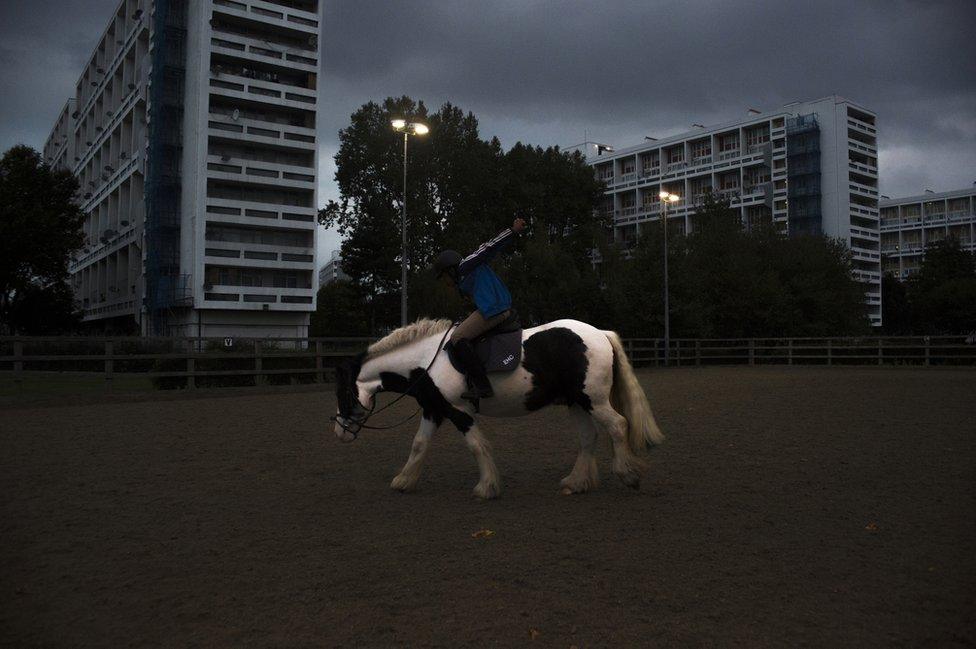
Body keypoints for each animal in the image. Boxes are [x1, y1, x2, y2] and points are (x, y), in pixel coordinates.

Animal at [334, 318, 664, 496]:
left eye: (343, 393)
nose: (339, 433)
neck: (427, 361)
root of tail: (600, 334)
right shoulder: (434, 409)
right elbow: (418, 444)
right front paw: (403, 481)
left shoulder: (459, 411)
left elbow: (477, 446)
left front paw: (487, 487)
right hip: (577, 402)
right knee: (588, 438)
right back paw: (576, 482)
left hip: (592, 400)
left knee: (618, 426)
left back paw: (628, 475)